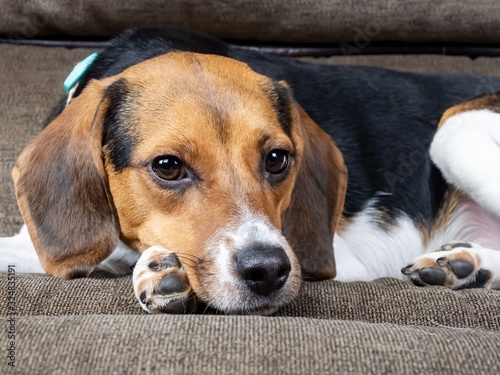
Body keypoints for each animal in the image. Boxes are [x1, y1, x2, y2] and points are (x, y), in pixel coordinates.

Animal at [0, 27, 500, 314]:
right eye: (167, 167)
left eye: (277, 159)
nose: (269, 271)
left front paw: (155, 269)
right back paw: (464, 266)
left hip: (455, 130)